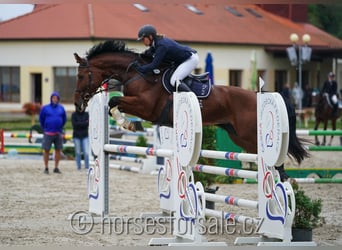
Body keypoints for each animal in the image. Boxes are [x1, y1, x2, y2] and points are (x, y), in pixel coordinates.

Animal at [73, 40, 308, 179]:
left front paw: (128, 124)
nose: (77, 104)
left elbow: (115, 101)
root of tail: (260, 95)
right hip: (240, 137)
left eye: (81, 76)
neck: (137, 74)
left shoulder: (146, 107)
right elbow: (114, 104)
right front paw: (128, 123)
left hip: (250, 134)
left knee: (275, 161)